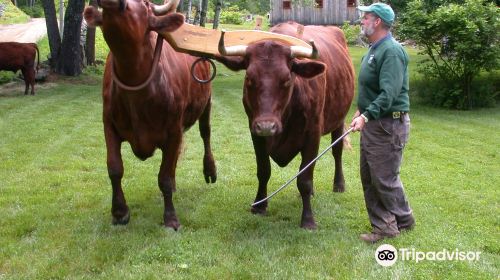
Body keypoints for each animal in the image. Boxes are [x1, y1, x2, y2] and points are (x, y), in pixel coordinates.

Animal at [83, 0, 216, 230]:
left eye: (144, 5)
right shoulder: (108, 124)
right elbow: (114, 168)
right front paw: (120, 212)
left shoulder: (173, 130)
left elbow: (164, 177)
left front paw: (170, 218)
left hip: (206, 102)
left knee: (205, 133)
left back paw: (210, 170)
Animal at [217, 21, 354, 228]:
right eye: (249, 78)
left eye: (287, 79)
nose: (267, 126)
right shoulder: (255, 132)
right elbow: (263, 170)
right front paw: (259, 205)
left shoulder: (313, 133)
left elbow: (304, 178)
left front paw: (308, 220)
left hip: (339, 119)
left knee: (337, 151)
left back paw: (339, 185)